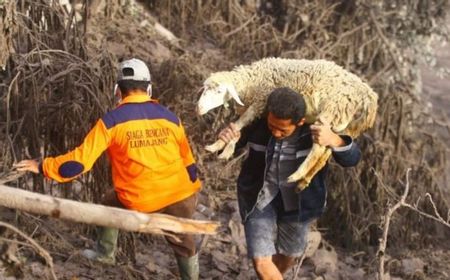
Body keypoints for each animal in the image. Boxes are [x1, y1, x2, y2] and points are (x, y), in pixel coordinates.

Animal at [199, 58, 378, 191]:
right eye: (204, 89)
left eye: (219, 92)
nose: (199, 109)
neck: (253, 81)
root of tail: (369, 97)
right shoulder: (260, 107)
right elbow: (241, 125)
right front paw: (225, 147)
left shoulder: (261, 100)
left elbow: (240, 123)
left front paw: (217, 147)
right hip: (347, 125)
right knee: (326, 152)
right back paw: (304, 181)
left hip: (333, 110)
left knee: (318, 149)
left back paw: (297, 175)